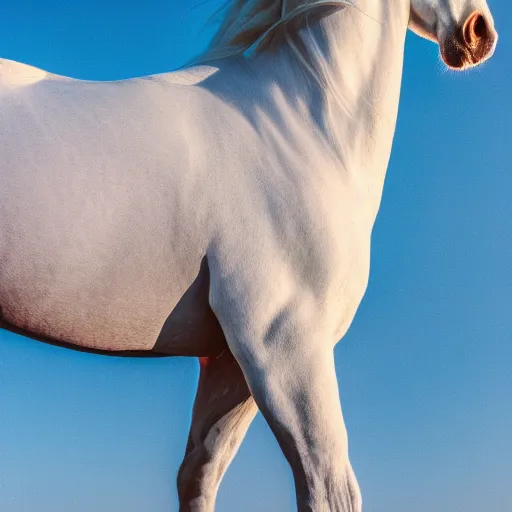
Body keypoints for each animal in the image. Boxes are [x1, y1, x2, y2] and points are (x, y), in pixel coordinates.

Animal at [0, 0, 496, 510]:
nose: (479, 32)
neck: (300, 126)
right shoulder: (283, 342)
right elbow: (329, 485)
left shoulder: (229, 360)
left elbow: (198, 476)